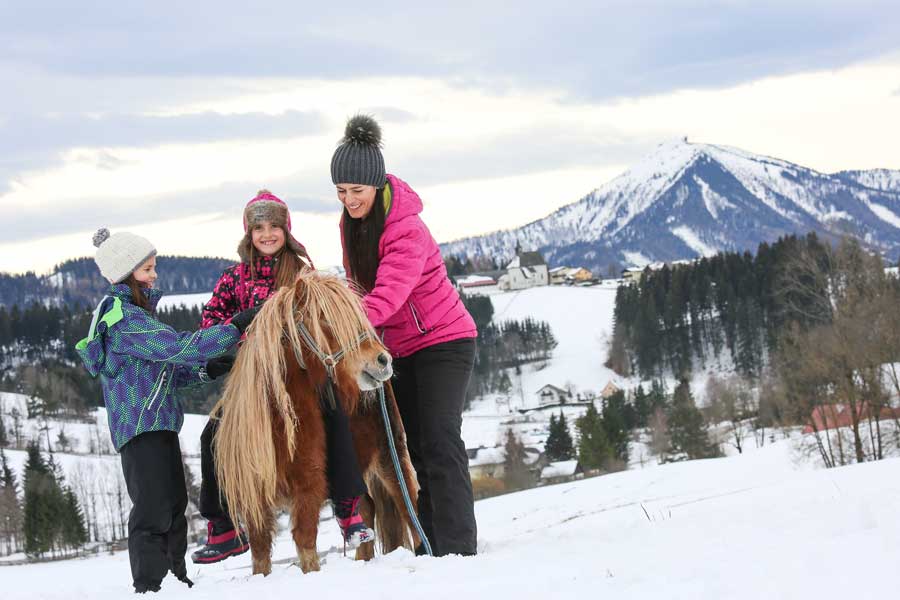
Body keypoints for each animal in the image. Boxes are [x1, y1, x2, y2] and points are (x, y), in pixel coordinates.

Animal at [211, 270, 422, 576]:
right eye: (323, 318)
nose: (382, 360)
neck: (279, 424)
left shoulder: (308, 485)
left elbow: (306, 543)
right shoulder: (256, 499)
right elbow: (260, 551)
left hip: (389, 456)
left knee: (409, 506)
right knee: (367, 508)